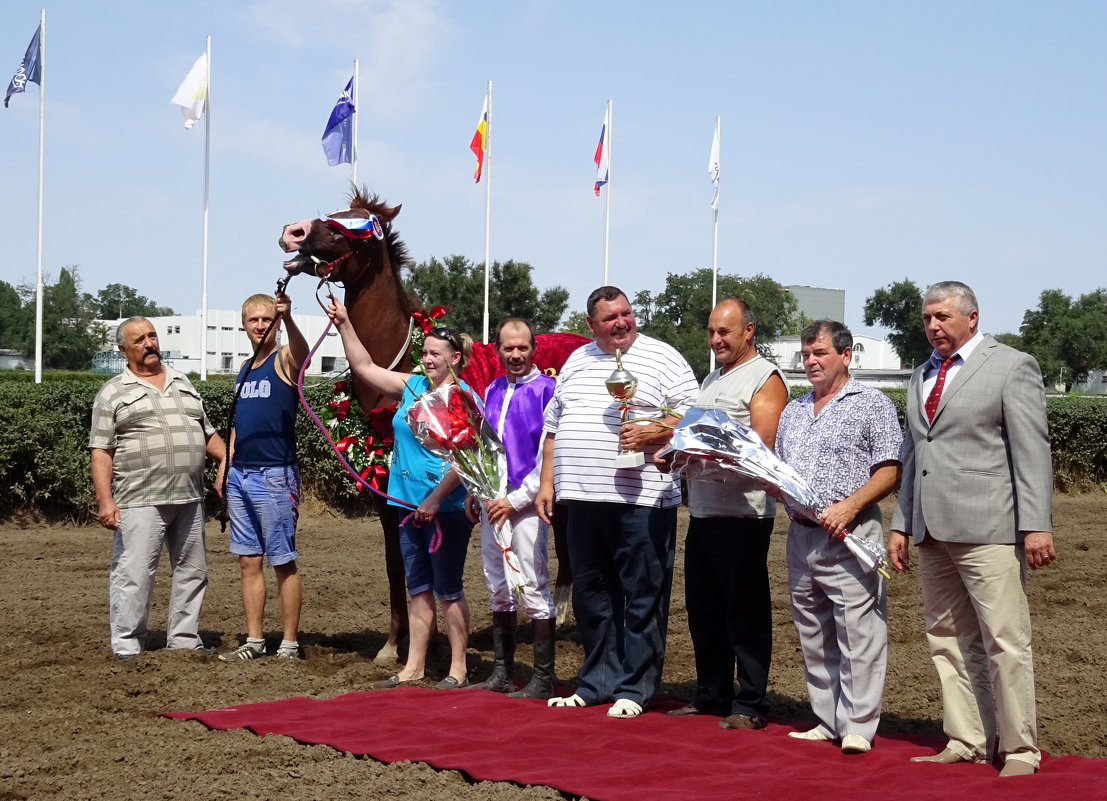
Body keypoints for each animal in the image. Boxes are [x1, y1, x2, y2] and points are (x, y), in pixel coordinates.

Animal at [278, 189, 588, 663]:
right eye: (332, 214)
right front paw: (395, 644)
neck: (403, 363)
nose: (294, 232)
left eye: (354, 225)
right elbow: (398, 565)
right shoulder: (385, 491)